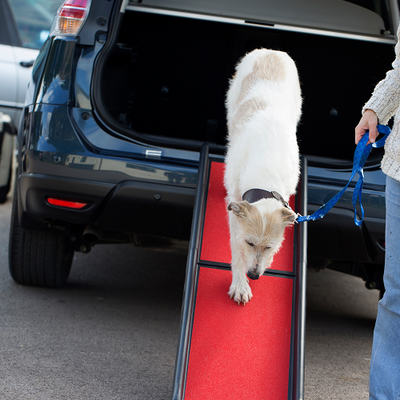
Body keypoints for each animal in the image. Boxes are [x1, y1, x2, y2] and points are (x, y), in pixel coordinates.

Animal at [223, 48, 302, 304]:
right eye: (250, 242)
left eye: (269, 247)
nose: (254, 275)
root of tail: (271, 51)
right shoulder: (235, 205)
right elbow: (235, 246)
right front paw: (240, 284)